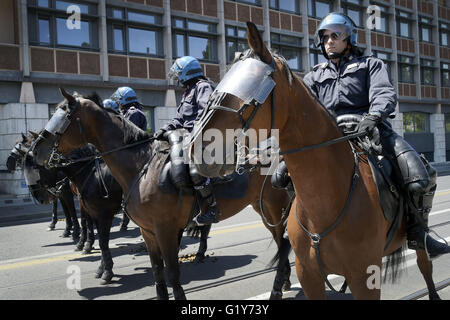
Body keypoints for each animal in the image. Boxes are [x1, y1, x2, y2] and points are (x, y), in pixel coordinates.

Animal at [31, 89, 292, 300]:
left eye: (63, 116)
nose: (36, 150)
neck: (141, 167)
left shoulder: (164, 229)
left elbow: (172, 273)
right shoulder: (147, 231)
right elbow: (157, 272)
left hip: (275, 208)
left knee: (285, 243)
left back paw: (278, 286)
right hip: (264, 209)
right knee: (283, 245)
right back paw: (285, 281)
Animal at [189, 21, 440, 298]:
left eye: (250, 96)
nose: (198, 150)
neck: (326, 204)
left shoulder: (365, 278)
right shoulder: (309, 275)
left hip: (417, 228)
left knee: (425, 265)